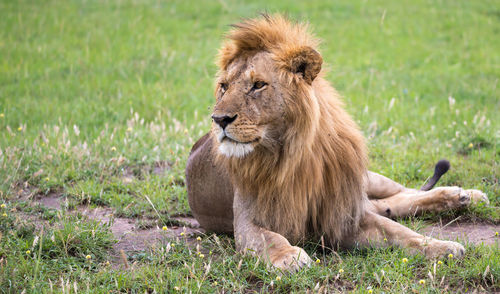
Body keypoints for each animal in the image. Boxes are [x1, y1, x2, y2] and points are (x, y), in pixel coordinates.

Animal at [184, 14, 488, 272]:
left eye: (258, 85)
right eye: (223, 86)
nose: (219, 119)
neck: (291, 153)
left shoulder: (343, 213)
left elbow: (402, 233)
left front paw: (442, 247)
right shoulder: (247, 221)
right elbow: (269, 238)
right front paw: (289, 257)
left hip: (366, 179)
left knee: (404, 192)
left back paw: (464, 195)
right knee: (391, 203)